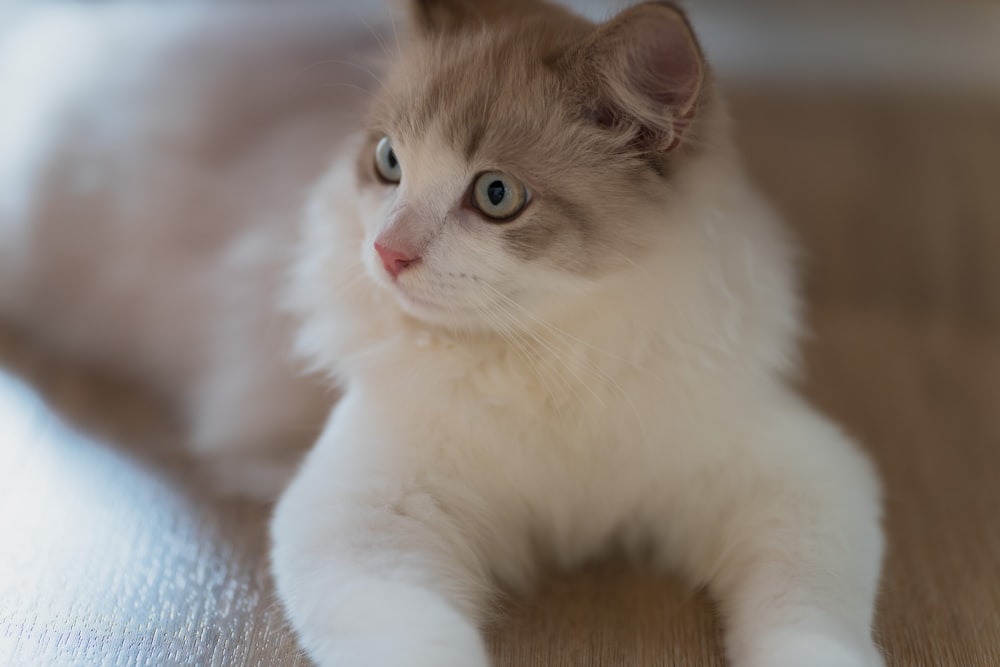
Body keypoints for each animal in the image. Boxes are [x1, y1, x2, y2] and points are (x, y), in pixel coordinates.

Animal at [0, 1, 884, 667]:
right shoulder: (365, 518)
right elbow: (422, 640)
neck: (548, 357)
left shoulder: (801, 480)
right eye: (390, 162)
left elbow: (811, 626)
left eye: (496, 195)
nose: (387, 252)